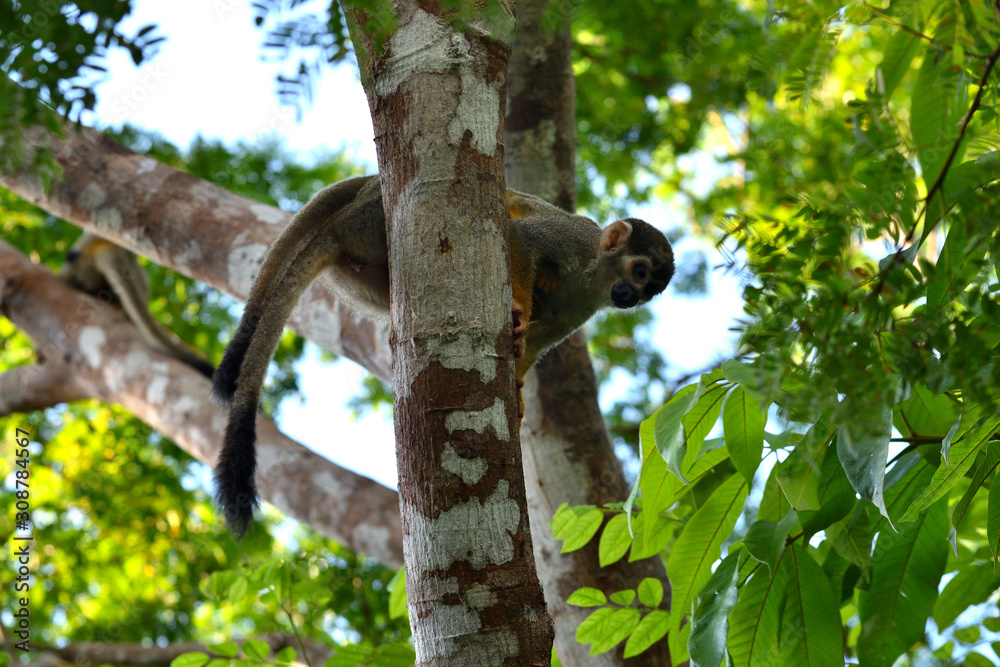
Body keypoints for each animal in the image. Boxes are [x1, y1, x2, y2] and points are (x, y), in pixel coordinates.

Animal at [212, 174, 674, 536]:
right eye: (638, 271)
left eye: (649, 288)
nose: (631, 297)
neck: (594, 271)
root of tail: (343, 220)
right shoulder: (573, 242)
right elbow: (522, 239)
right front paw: (520, 310)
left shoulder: (588, 304)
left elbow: (543, 339)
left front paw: (518, 383)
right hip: (377, 213)